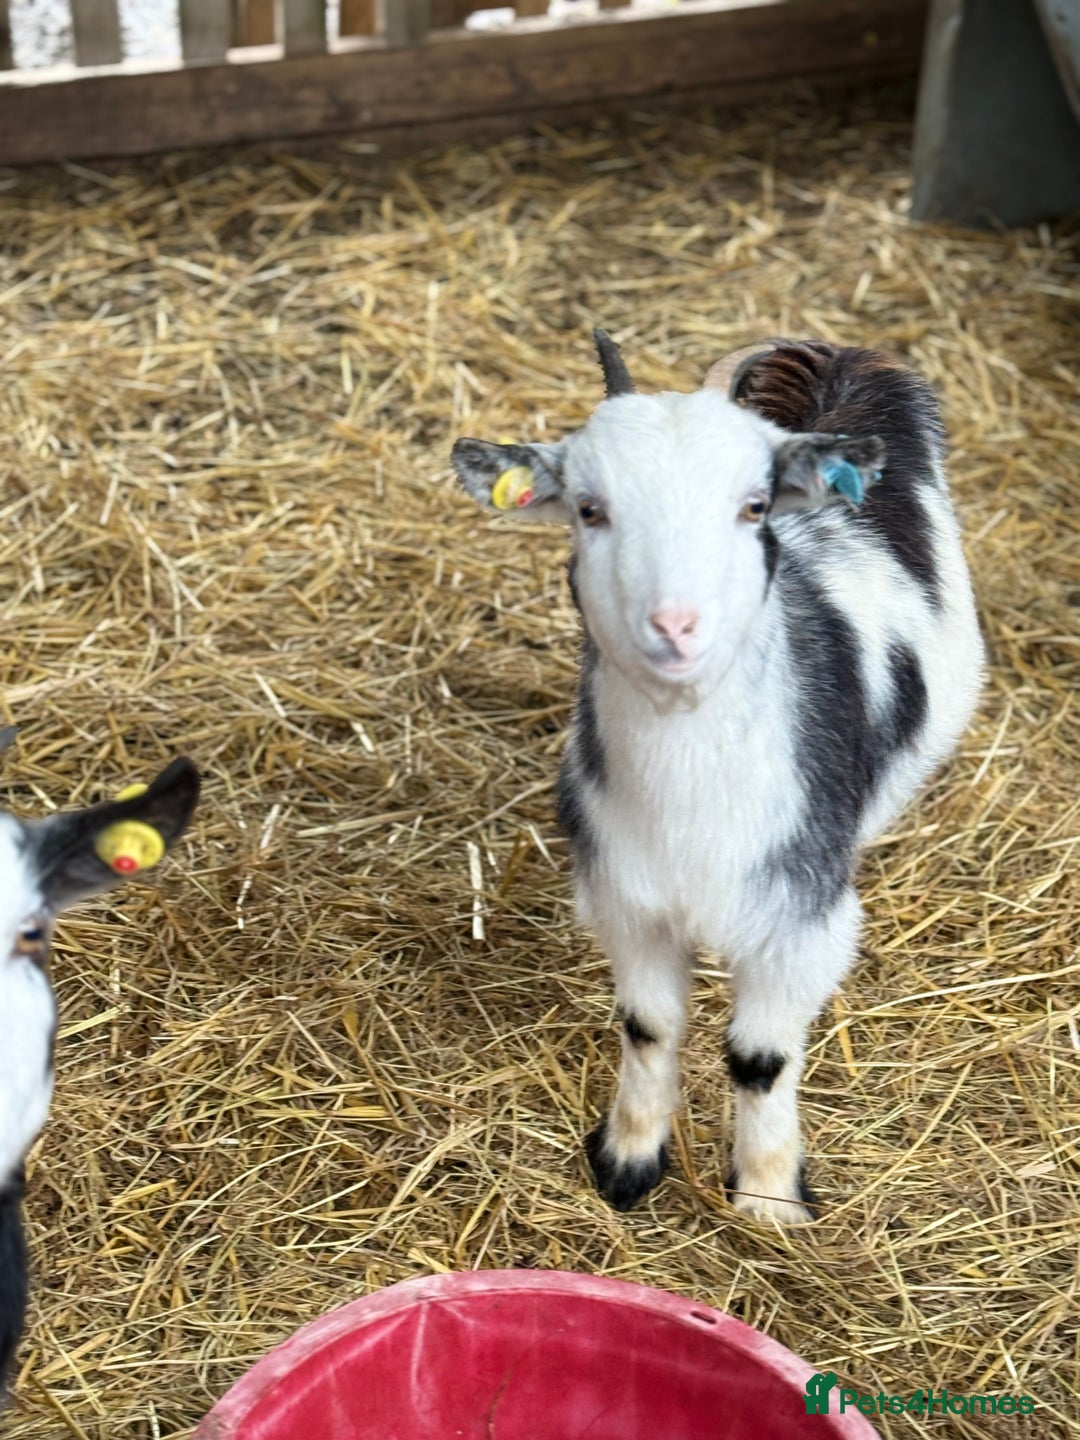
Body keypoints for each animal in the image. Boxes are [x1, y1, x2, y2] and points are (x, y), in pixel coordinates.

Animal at [451, 331, 984, 1223]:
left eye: (754, 507)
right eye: (589, 509)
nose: (675, 625)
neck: (687, 801)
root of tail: (827, 360)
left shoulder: (798, 923)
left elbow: (759, 1058)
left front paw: (769, 1200)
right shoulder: (626, 900)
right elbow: (648, 1027)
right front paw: (628, 1162)